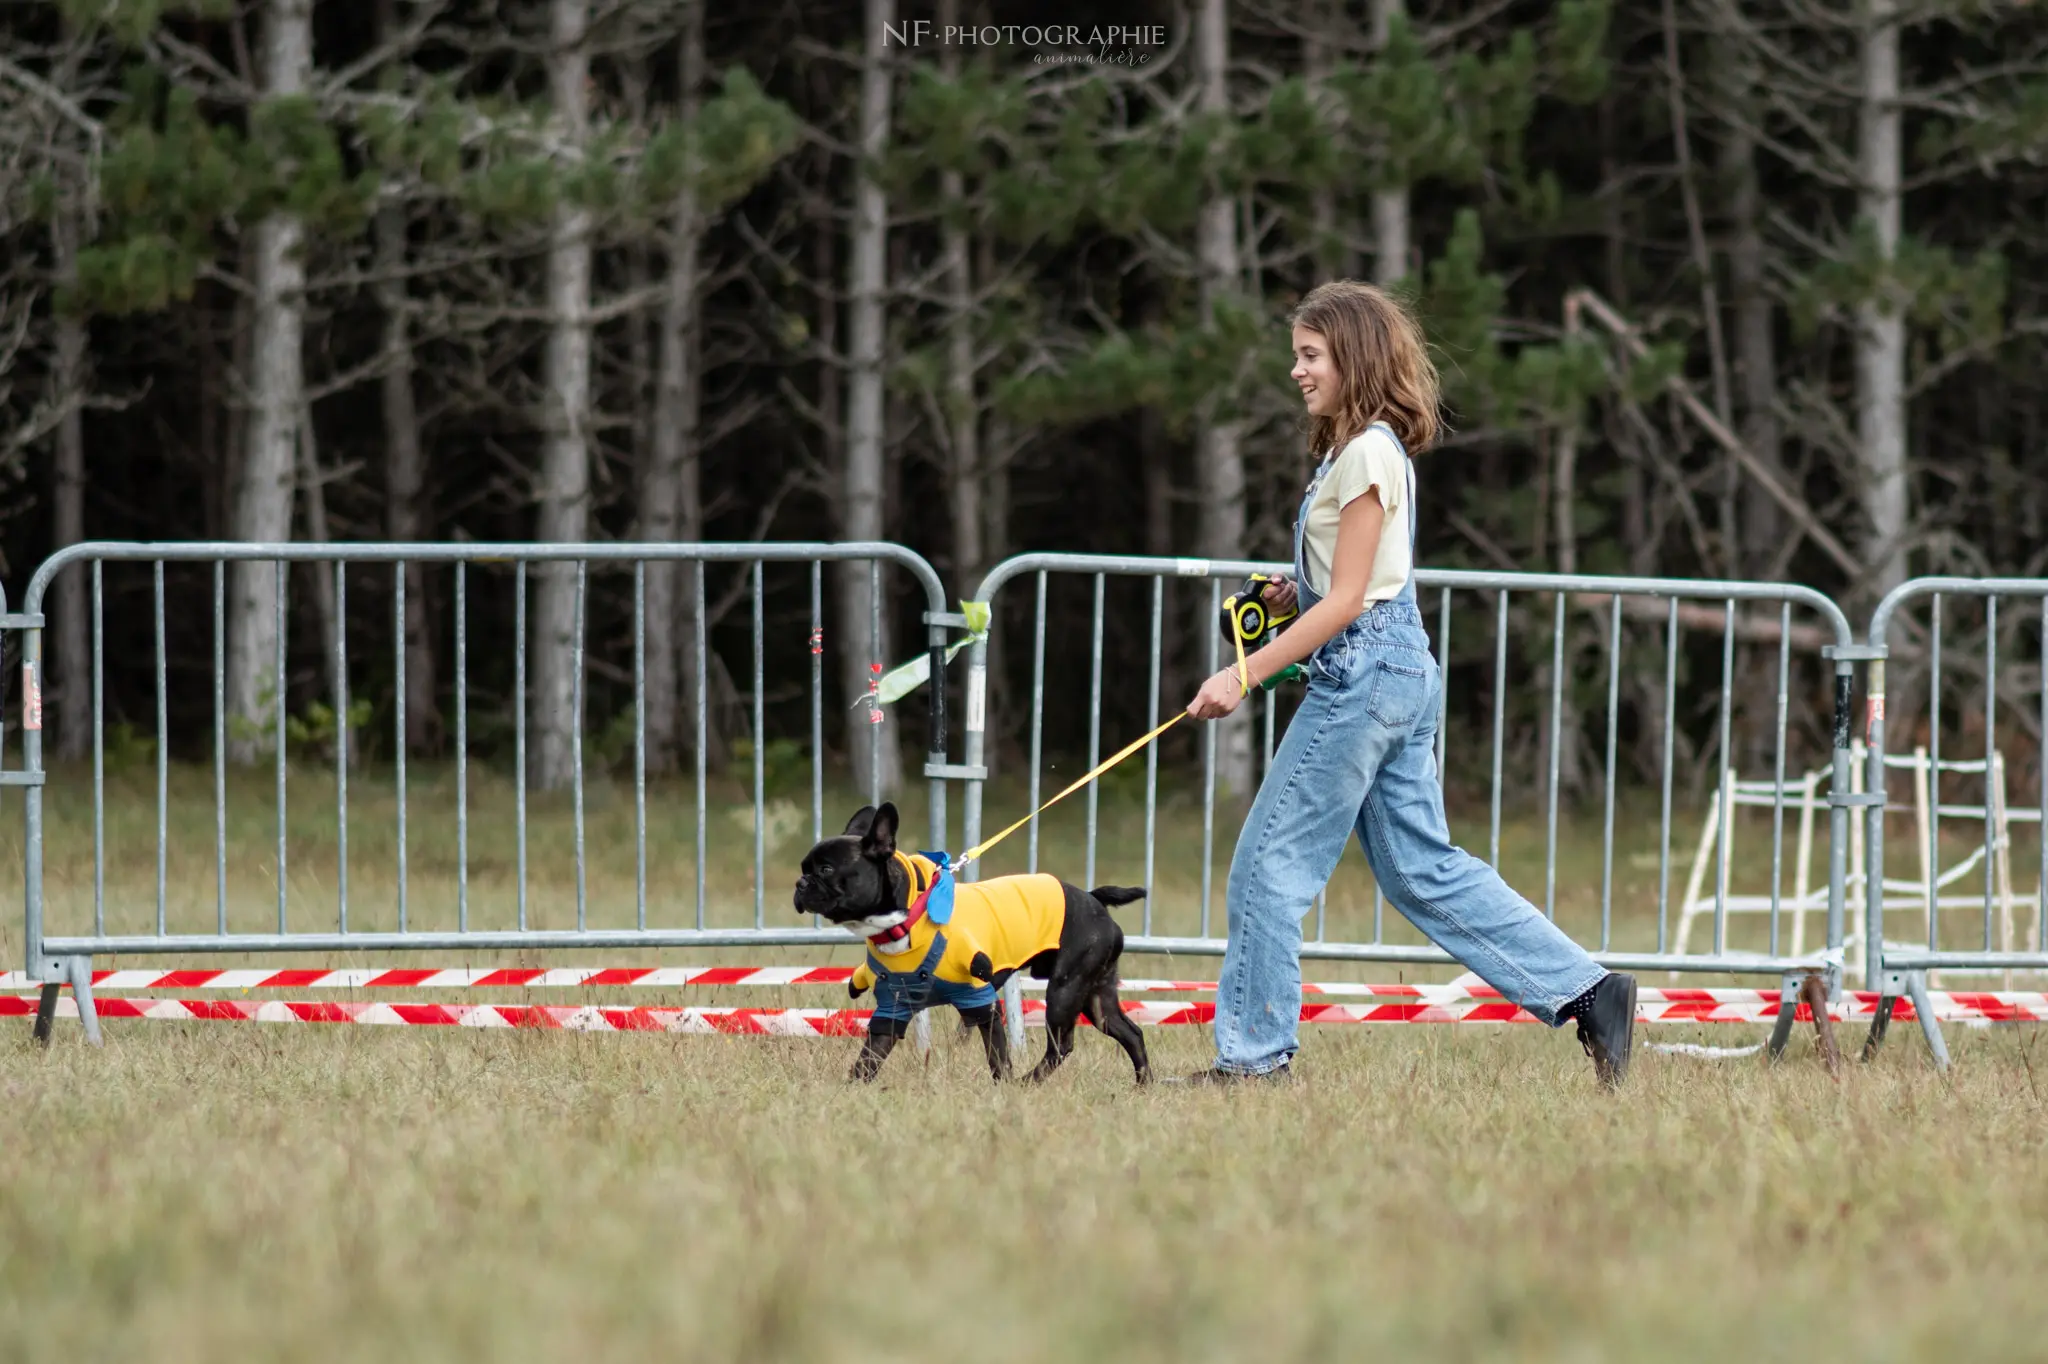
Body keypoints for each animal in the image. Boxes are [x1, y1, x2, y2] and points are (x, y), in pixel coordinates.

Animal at [790, 802, 1155, 1081]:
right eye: (804, 867)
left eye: (825, 869)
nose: (801, 882)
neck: (907, 918)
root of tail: (1094, 899)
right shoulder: (893, 1008)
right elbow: (867, 1060)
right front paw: (850, 1091)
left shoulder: (981, 1003)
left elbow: (998, 1058)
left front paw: (1004, 1088)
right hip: (1096, 995)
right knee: (1130, 1033)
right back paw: (1143, 1085)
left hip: (1065, 990)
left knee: (1061, 1046)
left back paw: (1028, 1082)